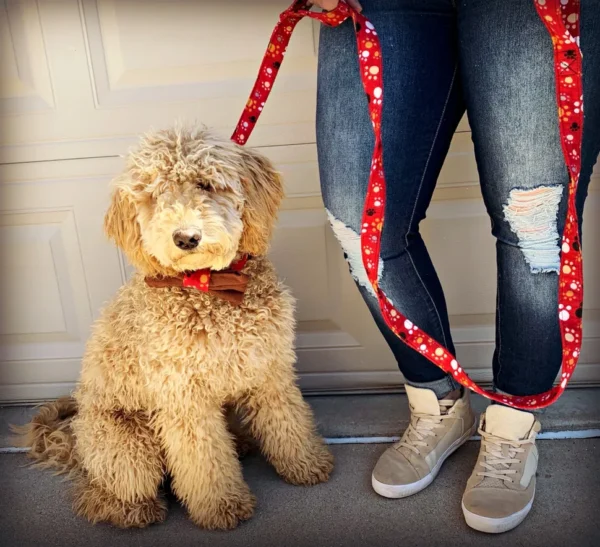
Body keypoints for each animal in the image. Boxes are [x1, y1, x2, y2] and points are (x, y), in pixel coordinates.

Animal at [18, 127, 336, 532]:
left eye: (206, 184)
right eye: (154, 197)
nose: (186, 237)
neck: (209, 288)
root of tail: (74, 441)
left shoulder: (269, 371)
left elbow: (288, 422)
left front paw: (306, 464)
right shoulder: (184, 397)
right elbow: (204, 460)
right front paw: (221, 507)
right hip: (128, 446)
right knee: (104, 493)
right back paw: (135, 510)